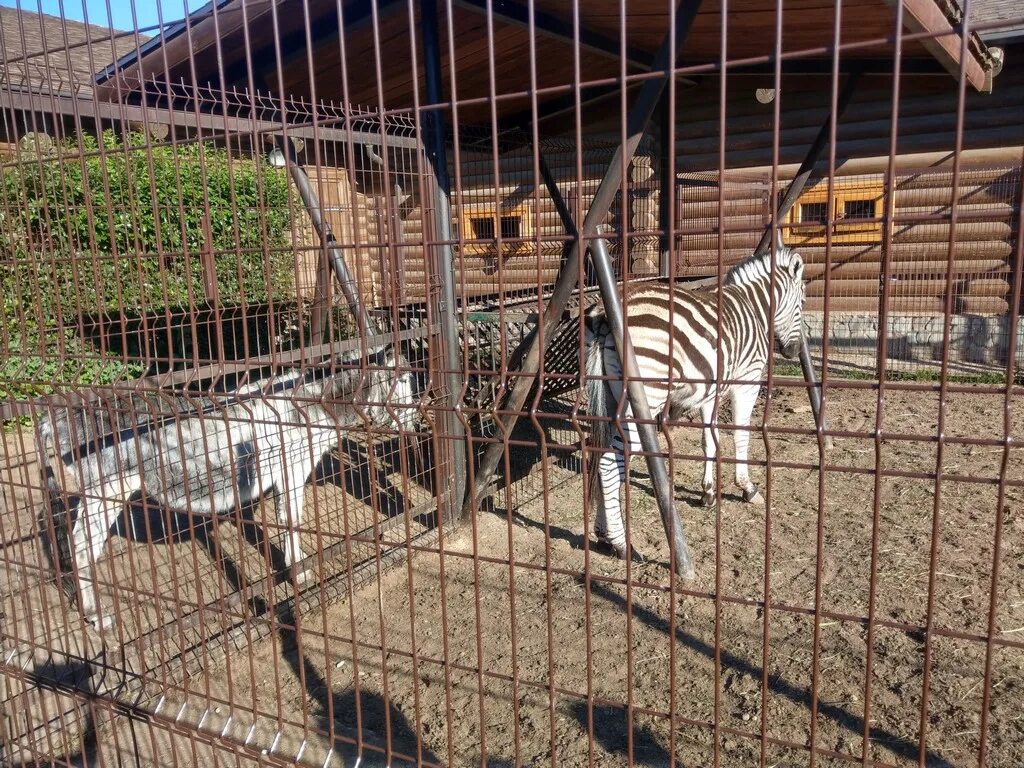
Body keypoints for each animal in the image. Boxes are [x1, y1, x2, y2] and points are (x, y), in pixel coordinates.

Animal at [37, 348, 417, 630]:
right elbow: (292, 518)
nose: (415, 427)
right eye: (404, 380)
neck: (312, 401)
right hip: (107, 488)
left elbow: (282, 517)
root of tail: (52, 418)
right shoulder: (292, 469)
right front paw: (299, 572)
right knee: (81, 548)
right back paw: (97, 617)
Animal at [585, 240, 806, 561]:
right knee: (609, 463)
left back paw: (602, 535)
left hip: (611, 397)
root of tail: (604, 313)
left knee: (601, 456)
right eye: (803, 302)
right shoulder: (747, 381)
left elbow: (709, 440)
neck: (754, 307)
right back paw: (621, 543)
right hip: (643, 399)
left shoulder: (709, 391)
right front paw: (747, 487)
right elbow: (740, 434)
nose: (794, 352)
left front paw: (708, 492)